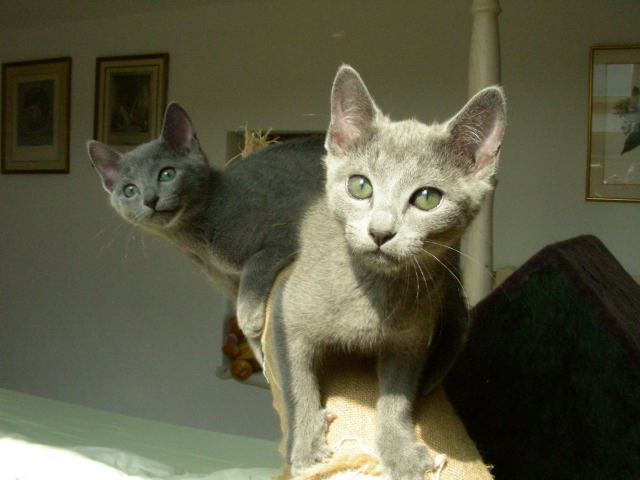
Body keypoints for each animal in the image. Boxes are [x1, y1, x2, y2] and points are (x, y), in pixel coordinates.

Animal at [87, 104, 326, 362]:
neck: (197, 242)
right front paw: (262, 357)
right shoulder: (228, 283)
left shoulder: (285, 232)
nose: (150, 199)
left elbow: (256, 264)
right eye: (130, 190)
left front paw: (248, 317)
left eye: (167, 174)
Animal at [270, 65, 506, 479]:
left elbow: (398, 395)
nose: (380, 232)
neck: (372, 293)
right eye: (360, 186)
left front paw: (399, 451)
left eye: (427, 198)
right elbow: (298, 382)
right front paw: (306, 442)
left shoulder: (411, 340)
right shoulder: (288, 312)